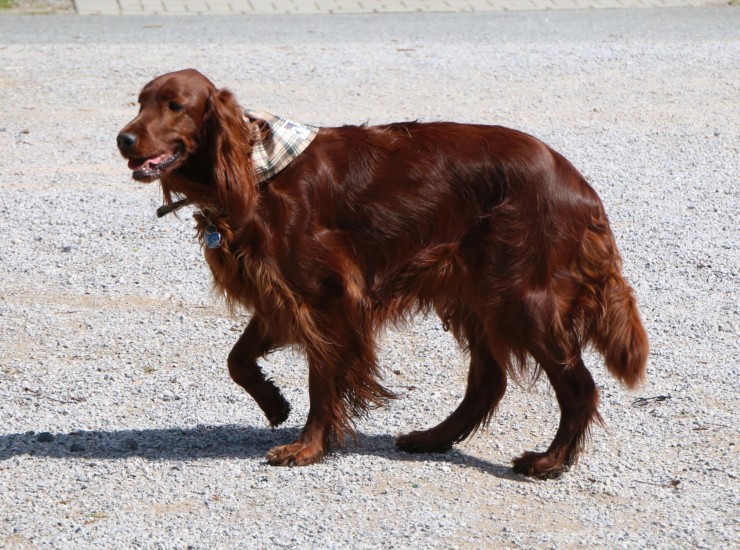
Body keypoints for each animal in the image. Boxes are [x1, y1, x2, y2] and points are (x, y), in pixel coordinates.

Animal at [117, 69, 648, 478]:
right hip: (476, 295)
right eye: (140, 101)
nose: (123, 139)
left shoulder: (326, 295)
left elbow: (321, 379)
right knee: (487, 384)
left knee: (578, 386)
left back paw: (549, 462)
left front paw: (307, 447)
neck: (256, 171)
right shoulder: (280, 291)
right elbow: (237, 359)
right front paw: (274, 403)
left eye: (175, 105)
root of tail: (576, 182)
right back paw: (434, 438)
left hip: (521, 299)